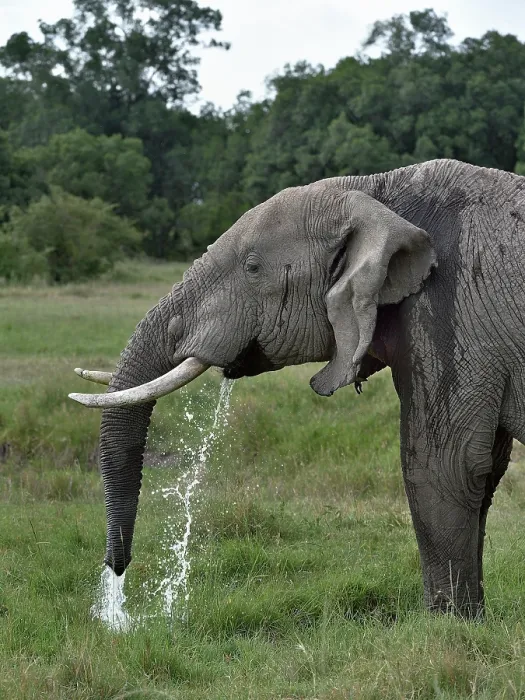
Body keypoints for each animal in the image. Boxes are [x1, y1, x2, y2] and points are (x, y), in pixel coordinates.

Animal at [70, 158, 525, 618]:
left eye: (253, 268)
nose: (116, 571)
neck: (378, 190)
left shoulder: (453, 313)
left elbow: (446, 465)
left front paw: (450, 624)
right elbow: (485, 472)